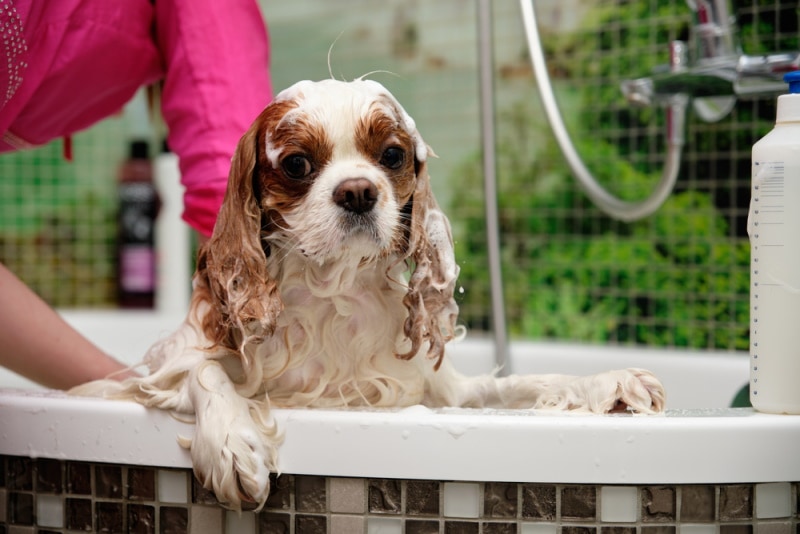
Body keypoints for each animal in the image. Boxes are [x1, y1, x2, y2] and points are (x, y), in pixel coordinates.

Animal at [72, 78, 664, 510]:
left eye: (393, 155)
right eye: (297, 164)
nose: (357, 191)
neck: (332, 289)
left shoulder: (443, 395)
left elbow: (520, 384)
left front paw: (608, 380)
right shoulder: (161, 364)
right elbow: (203, 370)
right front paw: (232, 443)